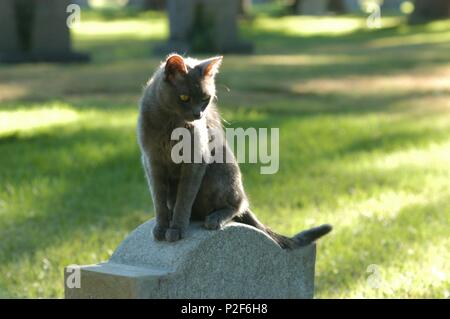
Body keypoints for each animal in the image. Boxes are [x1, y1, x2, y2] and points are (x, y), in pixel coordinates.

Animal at [137, 54, 330, 250]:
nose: (198, 114)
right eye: (184, 97)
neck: (170, 123)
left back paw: (215, 218)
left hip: (220, 167)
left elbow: (184, 197)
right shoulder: (151, 160)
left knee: (238, 203)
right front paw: (162, 227)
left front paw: (176, 228)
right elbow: (158, 197)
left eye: (205, 98)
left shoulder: (196, 159)